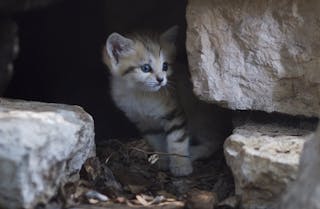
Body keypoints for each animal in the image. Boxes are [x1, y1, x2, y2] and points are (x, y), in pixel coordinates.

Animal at [103, 26, 230, 176]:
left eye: (165, 66)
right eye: (145, 68)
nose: (161, 80)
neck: (140, 94)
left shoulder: (175, 114)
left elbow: (177, 141)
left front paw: (181, 166)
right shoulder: (144, 123)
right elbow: (157, 142)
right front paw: (163, 160)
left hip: (201, 119)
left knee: (215, 141)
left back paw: (193, 152)